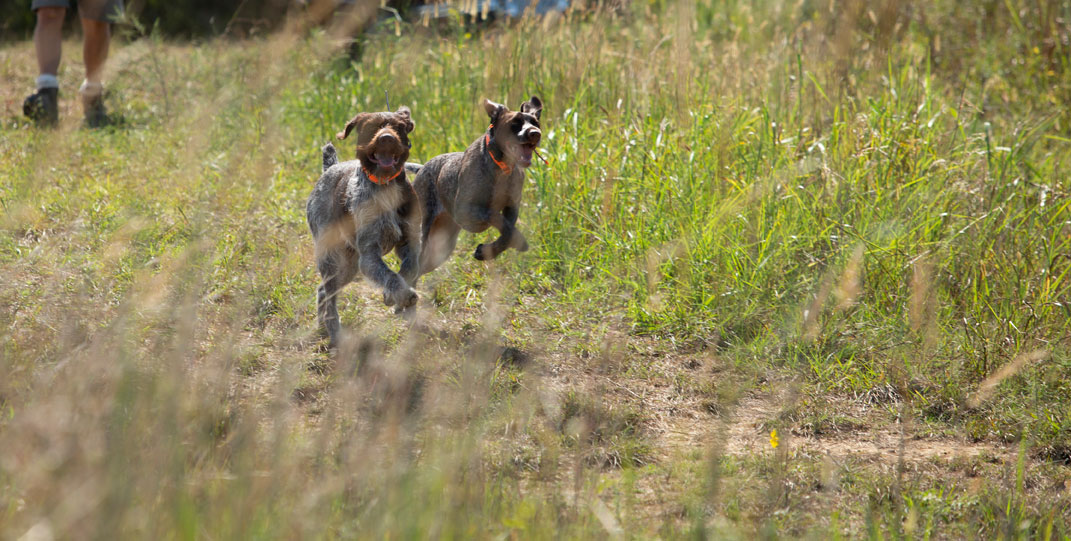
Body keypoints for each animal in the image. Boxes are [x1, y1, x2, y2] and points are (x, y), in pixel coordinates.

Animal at [306, 105, 421, 344]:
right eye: (371, 127)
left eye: (398, 126)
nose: (386, 138)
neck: (385, 185)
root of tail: (330, 169)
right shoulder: (369, 254)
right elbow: (390, 275)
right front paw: (404, 295)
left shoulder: (411, 242)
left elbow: (408, 268)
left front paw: (392, 296)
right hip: (332, 259)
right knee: (329, 297)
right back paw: (335, 334)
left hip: (348, 265)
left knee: (322, 291)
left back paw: (322, 326)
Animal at [409, 94, 544, 276]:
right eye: (515, 123)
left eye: (535, 123)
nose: (535, 133)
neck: (501, 167)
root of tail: (422, 169)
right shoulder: (465, 211)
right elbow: (495, 216)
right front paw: (517, 240)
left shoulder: (512, 207)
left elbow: (506, 232)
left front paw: (486, 251)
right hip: (423, 231)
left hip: (441, 248)